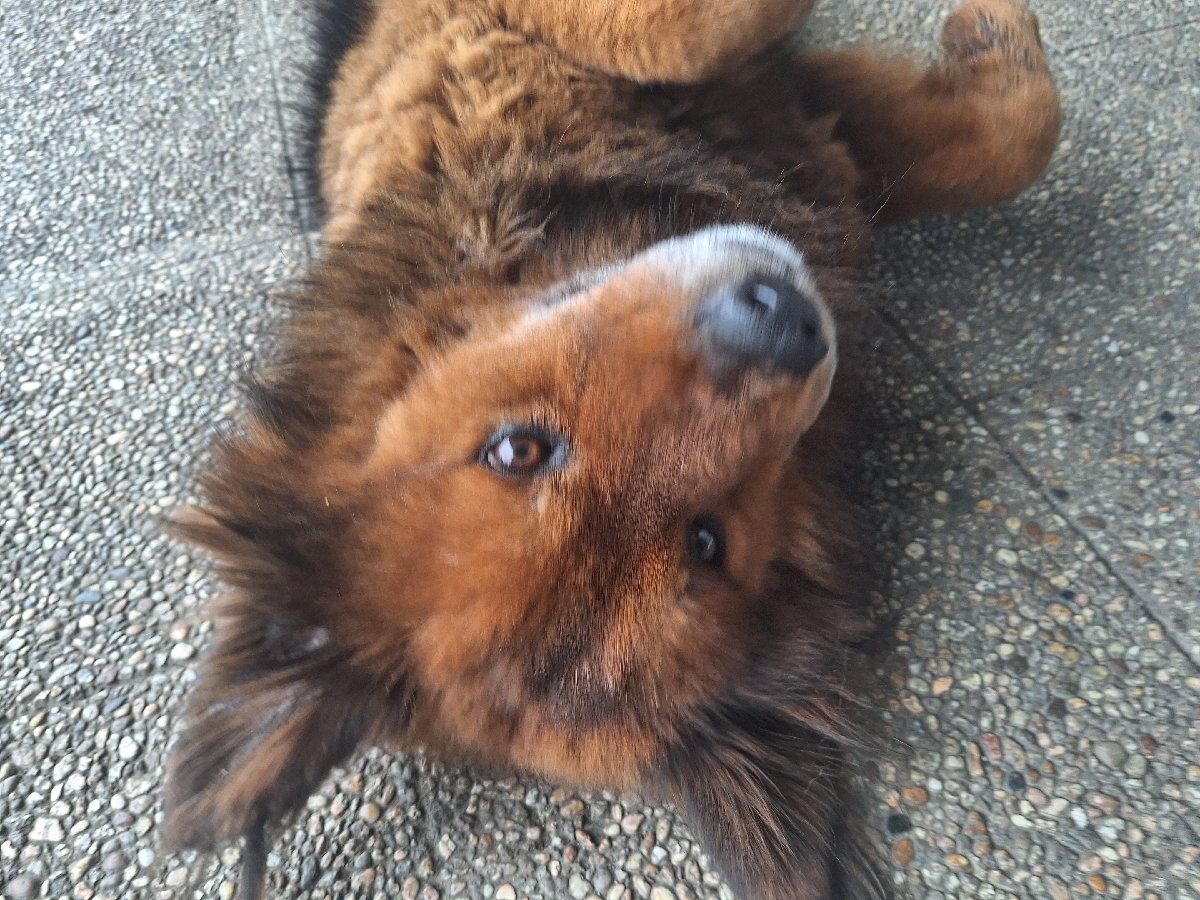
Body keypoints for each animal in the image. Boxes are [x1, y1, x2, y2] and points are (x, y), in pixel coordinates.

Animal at [163, 1, 1061, 898]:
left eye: (516, 449)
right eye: (707, 541)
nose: (786, 323)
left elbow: (1005, 141)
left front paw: (988, 37)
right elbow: (678, 34)